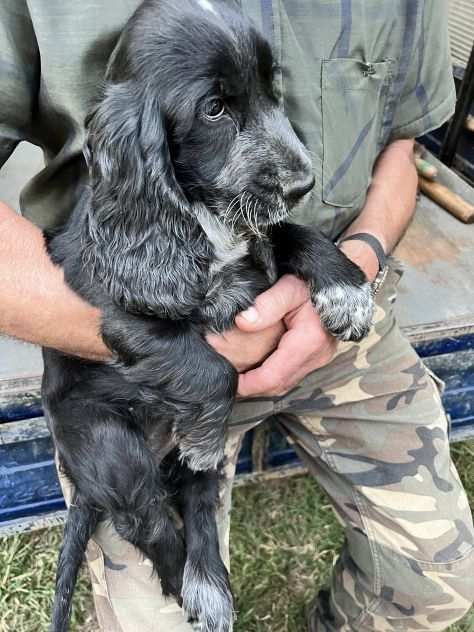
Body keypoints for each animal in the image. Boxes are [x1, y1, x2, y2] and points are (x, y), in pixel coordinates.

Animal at [42, 1, 372, 632]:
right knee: (149, 522)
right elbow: (209, 368)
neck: (198, 215)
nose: (303, 183)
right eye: (215, 108)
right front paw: (201, 431)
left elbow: (291, 234)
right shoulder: (118, 311)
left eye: (272, 93)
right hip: (109, 446)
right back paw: (197, 584)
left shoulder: (256, 249)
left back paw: (211, 581)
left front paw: (348, 291)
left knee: (197, 498)